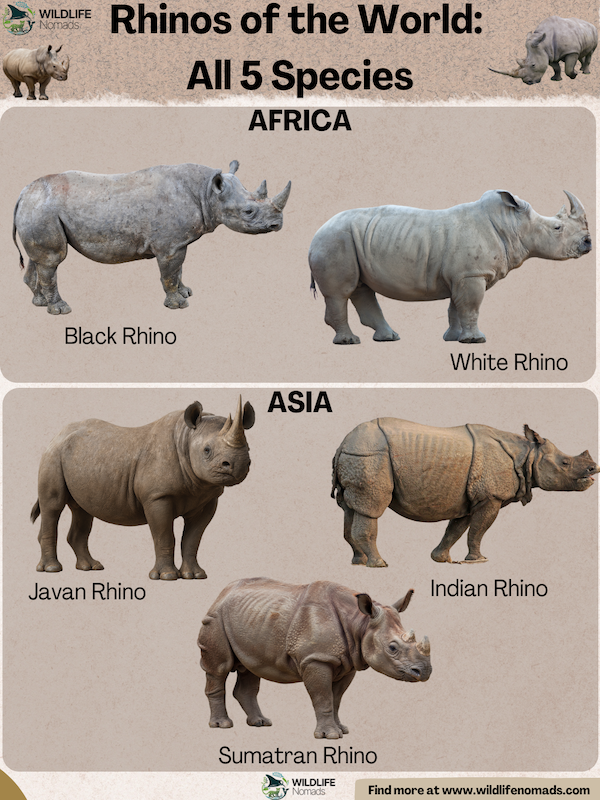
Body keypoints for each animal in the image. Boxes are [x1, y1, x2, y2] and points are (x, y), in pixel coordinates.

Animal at [13, 160, 291, 314]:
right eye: (248, 211)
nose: (277, 225)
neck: (207, 192)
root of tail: (23, 193)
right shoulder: (170, 245)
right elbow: (169, 273)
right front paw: (178, 305)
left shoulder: (178, 241)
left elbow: (178, 270)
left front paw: (186, 292)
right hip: (44, 210)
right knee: (53, 259)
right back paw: (60, 310)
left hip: (37, 209)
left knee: (38, 259)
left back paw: (39, 302)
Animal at [31, 397, 254, 580]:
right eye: (207, 450)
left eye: (249, 448)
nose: (239, 465)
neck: (186, 438)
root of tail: (57, 435)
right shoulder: (157, 496)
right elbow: (164, 535)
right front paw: (166, 576)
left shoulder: (207, 499)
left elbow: (193, 538)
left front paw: (195, 575)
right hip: (53, 455)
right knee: (53, 506)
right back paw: (52, 569)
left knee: (83, 510)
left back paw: (90, 567)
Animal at [198, 577, 431, 738]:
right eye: (392, 647)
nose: (425, 671)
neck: (360, 623)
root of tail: (221, 593)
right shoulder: (316, 659)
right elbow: (323, 697)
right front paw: (330, 736)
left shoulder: (348, 663)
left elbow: (336, 699)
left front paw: (342, 729)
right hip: (216, 618)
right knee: (219, 668)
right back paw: (222, 725)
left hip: (249, 619)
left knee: (250, 667)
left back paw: (261, 723)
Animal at [308, 190, 591, 344]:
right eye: (557, 227)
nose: (588, 243)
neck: (513, 224)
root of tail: (316, 233)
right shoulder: (471, 274)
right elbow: (471, 307)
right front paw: (476, 340)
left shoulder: (462, 274)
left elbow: (456, 307)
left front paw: (454, 338)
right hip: (334, 240)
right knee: (341, 292)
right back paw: (349, 342)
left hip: (349, 241)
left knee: (360, 288)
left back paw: (388, 337)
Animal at [332, 418, 598, 566]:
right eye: (565, 463)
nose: (594, 468)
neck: (528, 455)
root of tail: (343, 443)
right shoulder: (491, 497)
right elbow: (479, 529)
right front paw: (479, 560)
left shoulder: (469, 499)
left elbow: (457, 529)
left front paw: (441, 559)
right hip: (369, 455)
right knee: (371, 508)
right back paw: (379, 564)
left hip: (357, 456)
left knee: (350, 509)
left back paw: (359, 562)